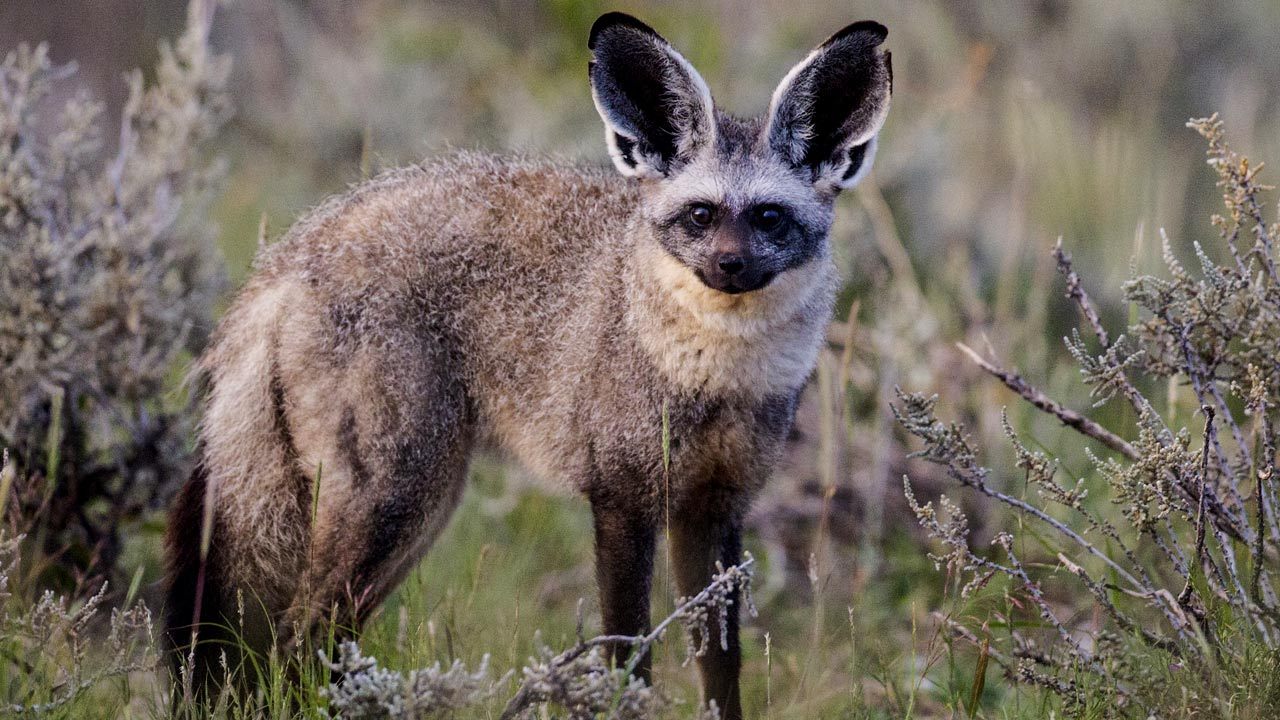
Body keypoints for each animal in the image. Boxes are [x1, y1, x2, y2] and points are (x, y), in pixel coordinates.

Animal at [167, 9, 890, 712]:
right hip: (399, 503)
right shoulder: (621, 498)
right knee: (297, 641)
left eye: (768, 217)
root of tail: (290, 252)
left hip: (407, 517)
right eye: (700, 215)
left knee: (310, 646)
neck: (713, 377)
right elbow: (628, 659)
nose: (729, 266)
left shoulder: (714, 509)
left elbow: (720, 667)